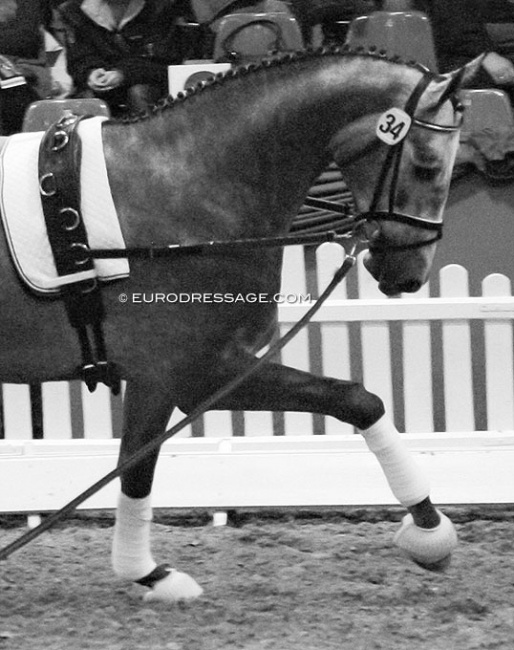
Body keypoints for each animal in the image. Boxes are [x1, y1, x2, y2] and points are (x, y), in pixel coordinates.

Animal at [1, 46, 480, 604]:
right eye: (427, 166)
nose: (409, 275)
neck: (186, 187)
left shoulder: (183, 376)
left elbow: (354, 400)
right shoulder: (187, 373)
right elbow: (139, 471)